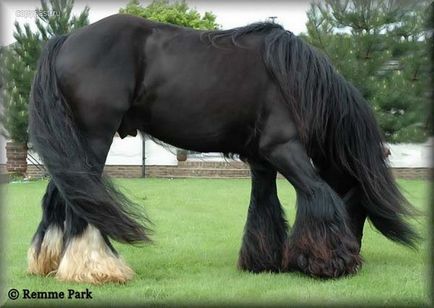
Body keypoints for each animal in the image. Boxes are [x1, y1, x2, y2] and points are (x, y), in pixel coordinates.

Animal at [27, 14, 418, 284]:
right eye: (360, 204)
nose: (356, 253)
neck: (296, 80)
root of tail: (65, 40)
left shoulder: (262, 160)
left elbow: (264, 207)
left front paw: (264, 262)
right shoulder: (284, 149)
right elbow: (319, 194)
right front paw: (329, 263)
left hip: (73, 145)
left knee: (58, 197)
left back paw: (51, 263)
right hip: (93, 139)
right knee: (81, 202)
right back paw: (97, 268)